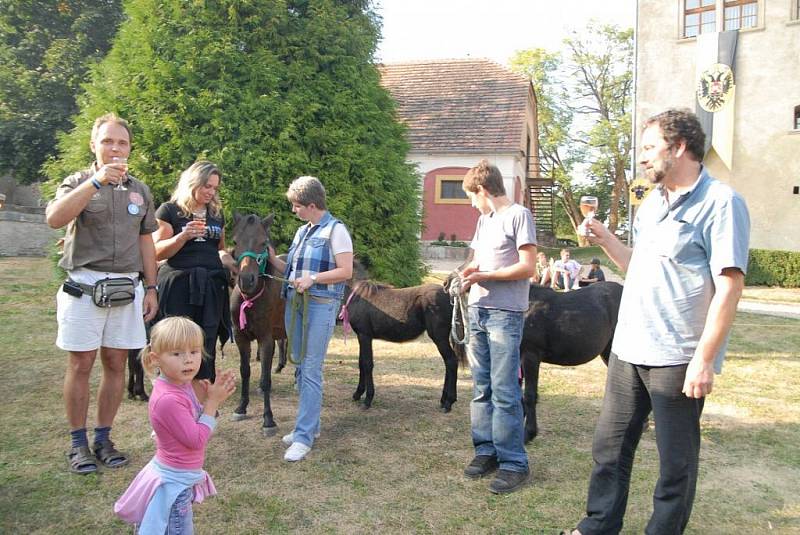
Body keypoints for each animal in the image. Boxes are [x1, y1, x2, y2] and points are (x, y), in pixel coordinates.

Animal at [228, 214, 288, 436]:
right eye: (235, 241)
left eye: (263, 243)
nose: (246, 280)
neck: (251, 299)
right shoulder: (240, 338)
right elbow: (245, 371)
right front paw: (241, 407)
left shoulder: (266, 339)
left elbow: (266, 379)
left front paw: (268, 419)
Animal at [340, 280, 466, 414]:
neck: (357, 298)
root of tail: (450, 295)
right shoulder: (361, 337)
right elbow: (361, 363)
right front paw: (357, 394)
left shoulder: (364, 336)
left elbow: (367, 364)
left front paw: (367, 400)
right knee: (448, 363)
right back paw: (443, 400)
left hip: (439, 337)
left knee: (451, 361)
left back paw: (449, 402)